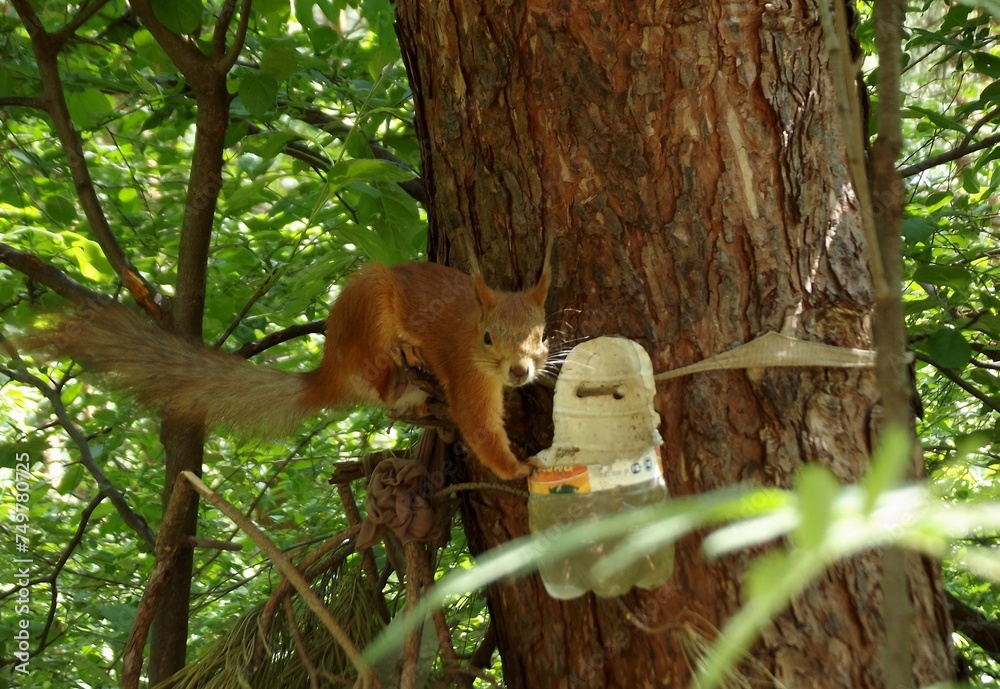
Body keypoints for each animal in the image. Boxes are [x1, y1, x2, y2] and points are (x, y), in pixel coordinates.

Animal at [21, 240, 552, 480]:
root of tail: (328, 370)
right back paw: (405, 358)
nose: (520, 370)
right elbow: (479, 426)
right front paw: (518, 469)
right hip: (370, 312)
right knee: (381, 382)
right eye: (487, 338)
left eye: (542, 334)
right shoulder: (466, 373)